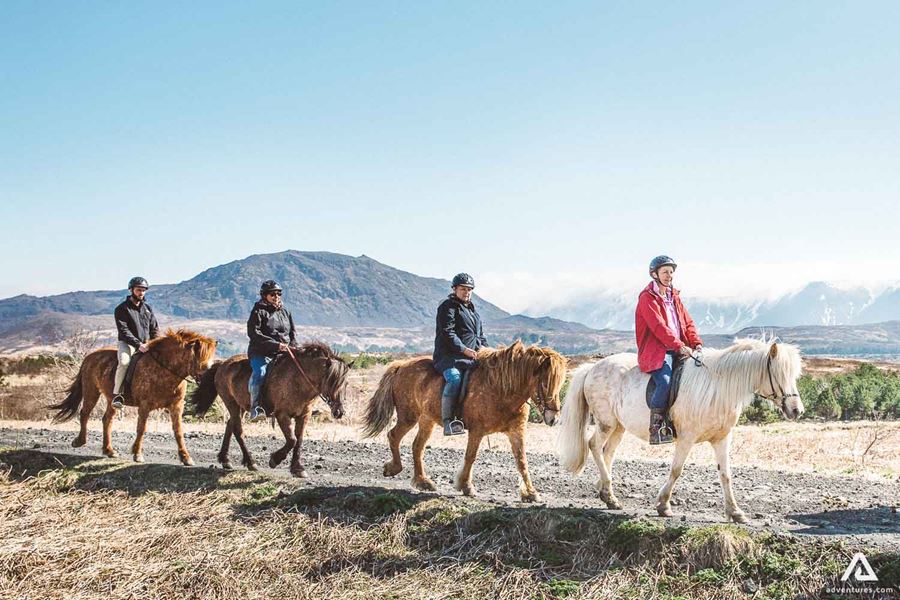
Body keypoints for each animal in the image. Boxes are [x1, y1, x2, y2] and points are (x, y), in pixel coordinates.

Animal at [50, 329, 217, 465]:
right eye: (199, 358)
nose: (208, 379)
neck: (165, 370)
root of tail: (90, 356)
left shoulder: (176, 406)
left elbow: (178, 431)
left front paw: (186, 457)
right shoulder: (144, 405)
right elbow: (141, 429)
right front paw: (137, 454)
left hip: (111, 399)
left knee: (107, 420)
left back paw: (109, 450)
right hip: (91, 391)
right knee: (85, 414)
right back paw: (80, 441)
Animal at [189, 341, 349, 477]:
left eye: (345, 384)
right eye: (332, 381)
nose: (339, 412)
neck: (299, 380)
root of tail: (223, 363)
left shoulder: (304, 415)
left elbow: (299, 440)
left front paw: (297, 468)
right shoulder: (282, 414)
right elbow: (292, 440)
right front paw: (275, 460)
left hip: (241, 406)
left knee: (230, 425)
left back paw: (225, 460)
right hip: (231, 403)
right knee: (238, 430)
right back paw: (250, 462)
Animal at [363, 341, 567, 502]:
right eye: (545, 384)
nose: (553, 418)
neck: (501, 389)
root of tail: (400, 366)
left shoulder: (516, 431)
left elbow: (522, 461)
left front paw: (531, 493)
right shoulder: (477, 430)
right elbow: (471, 456)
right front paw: (465, 486)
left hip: (426, 420)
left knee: (417, 446)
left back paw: (423, 481)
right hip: (408, 416)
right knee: (394, 436)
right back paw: (393, 468)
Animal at [557, 338, 804, 523]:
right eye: (779, 375)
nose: (797, 410)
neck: (718, 388)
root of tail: (592, 368)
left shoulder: (722, 439)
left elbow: (725, 475)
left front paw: (735, 512)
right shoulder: (686, 438)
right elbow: (677, 470)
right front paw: (663, 505)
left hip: (619, 426)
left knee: (607, 452)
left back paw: (606, 494)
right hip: (606, 422)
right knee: (594, 445)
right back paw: (609, 493)